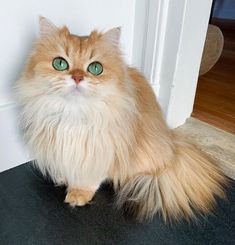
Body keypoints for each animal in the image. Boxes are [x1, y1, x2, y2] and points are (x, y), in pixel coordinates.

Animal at [15, 17, 228, 223]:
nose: (77, 77)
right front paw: (63, 177)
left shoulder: (104, 150)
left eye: (95, 68)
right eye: (60, 64)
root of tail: (173, 144)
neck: (74, 114)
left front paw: (79, 193)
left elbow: (90, 176)